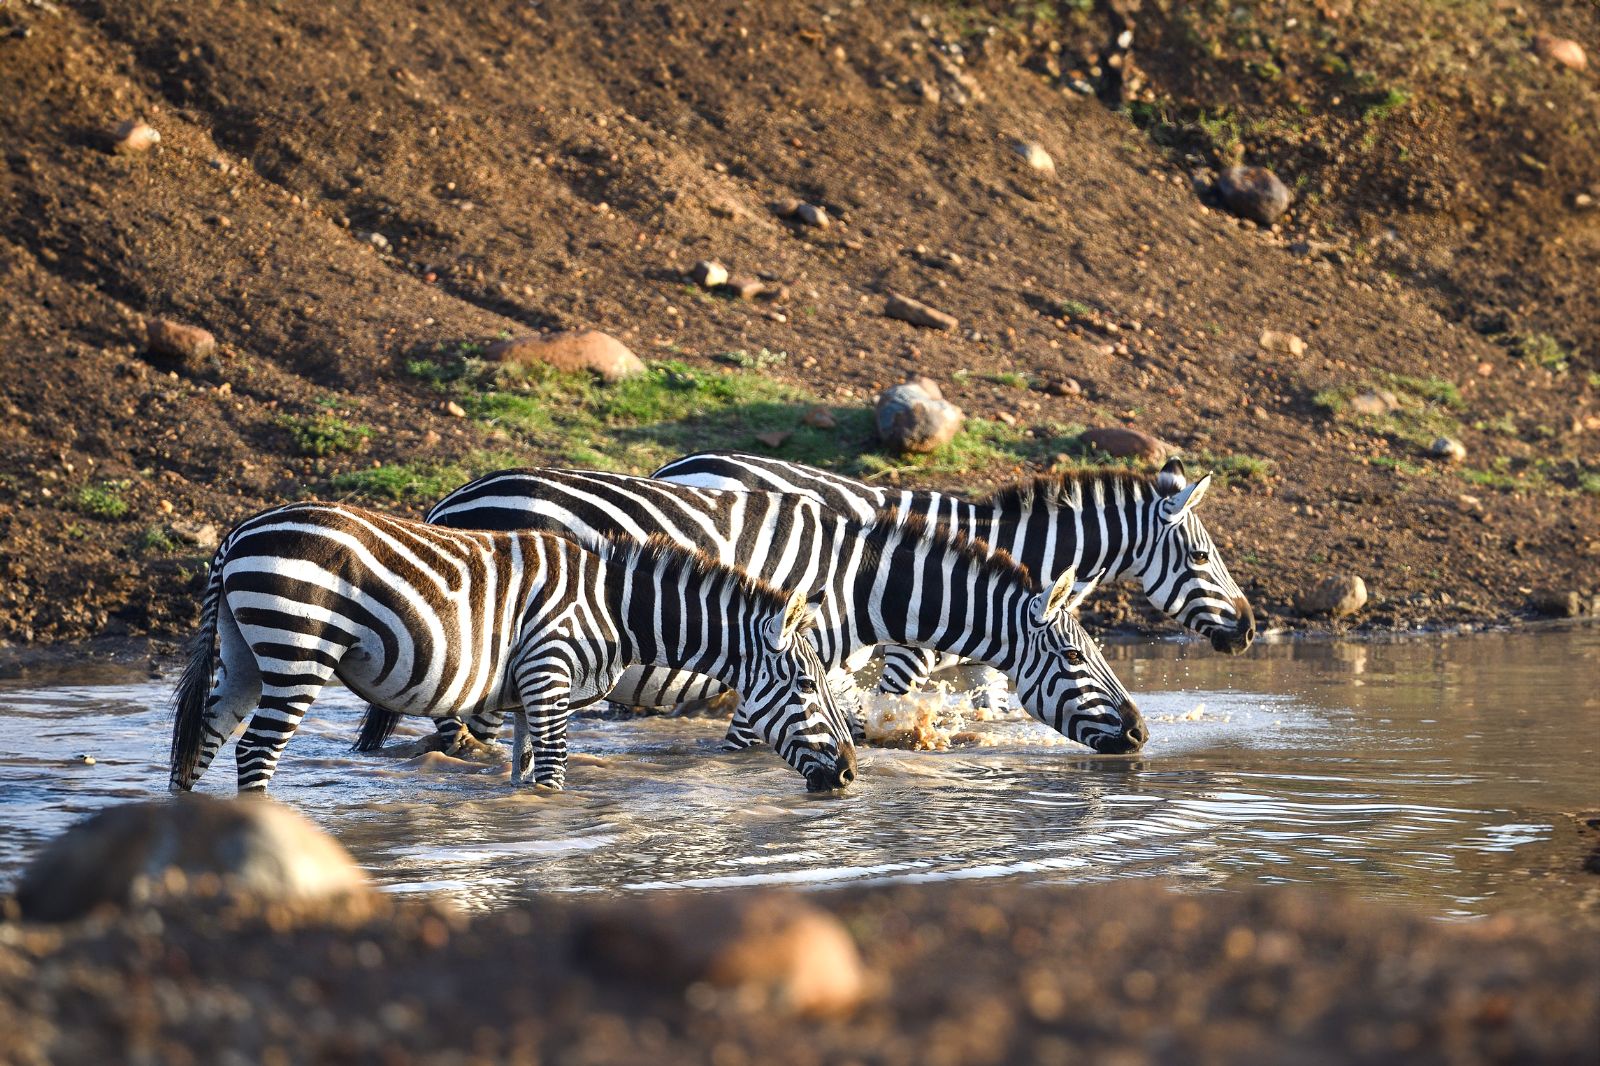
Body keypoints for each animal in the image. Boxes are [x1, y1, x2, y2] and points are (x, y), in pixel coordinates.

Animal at [167, 503, 857, 795]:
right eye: (805, 686)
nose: (851, 774)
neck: (617, 607)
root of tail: (238, 534)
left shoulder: (527, 693)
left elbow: (525, 775)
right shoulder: (549, 675)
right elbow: (552, 775)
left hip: (245, 658)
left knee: (201, 742)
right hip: (297, 650)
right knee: (255, 752)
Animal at [354, 468, 1146, 756]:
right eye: (1076, 659)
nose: (1141, 735)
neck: (856, 584)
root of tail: (450, 500)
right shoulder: (781, 660)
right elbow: (748, 745)